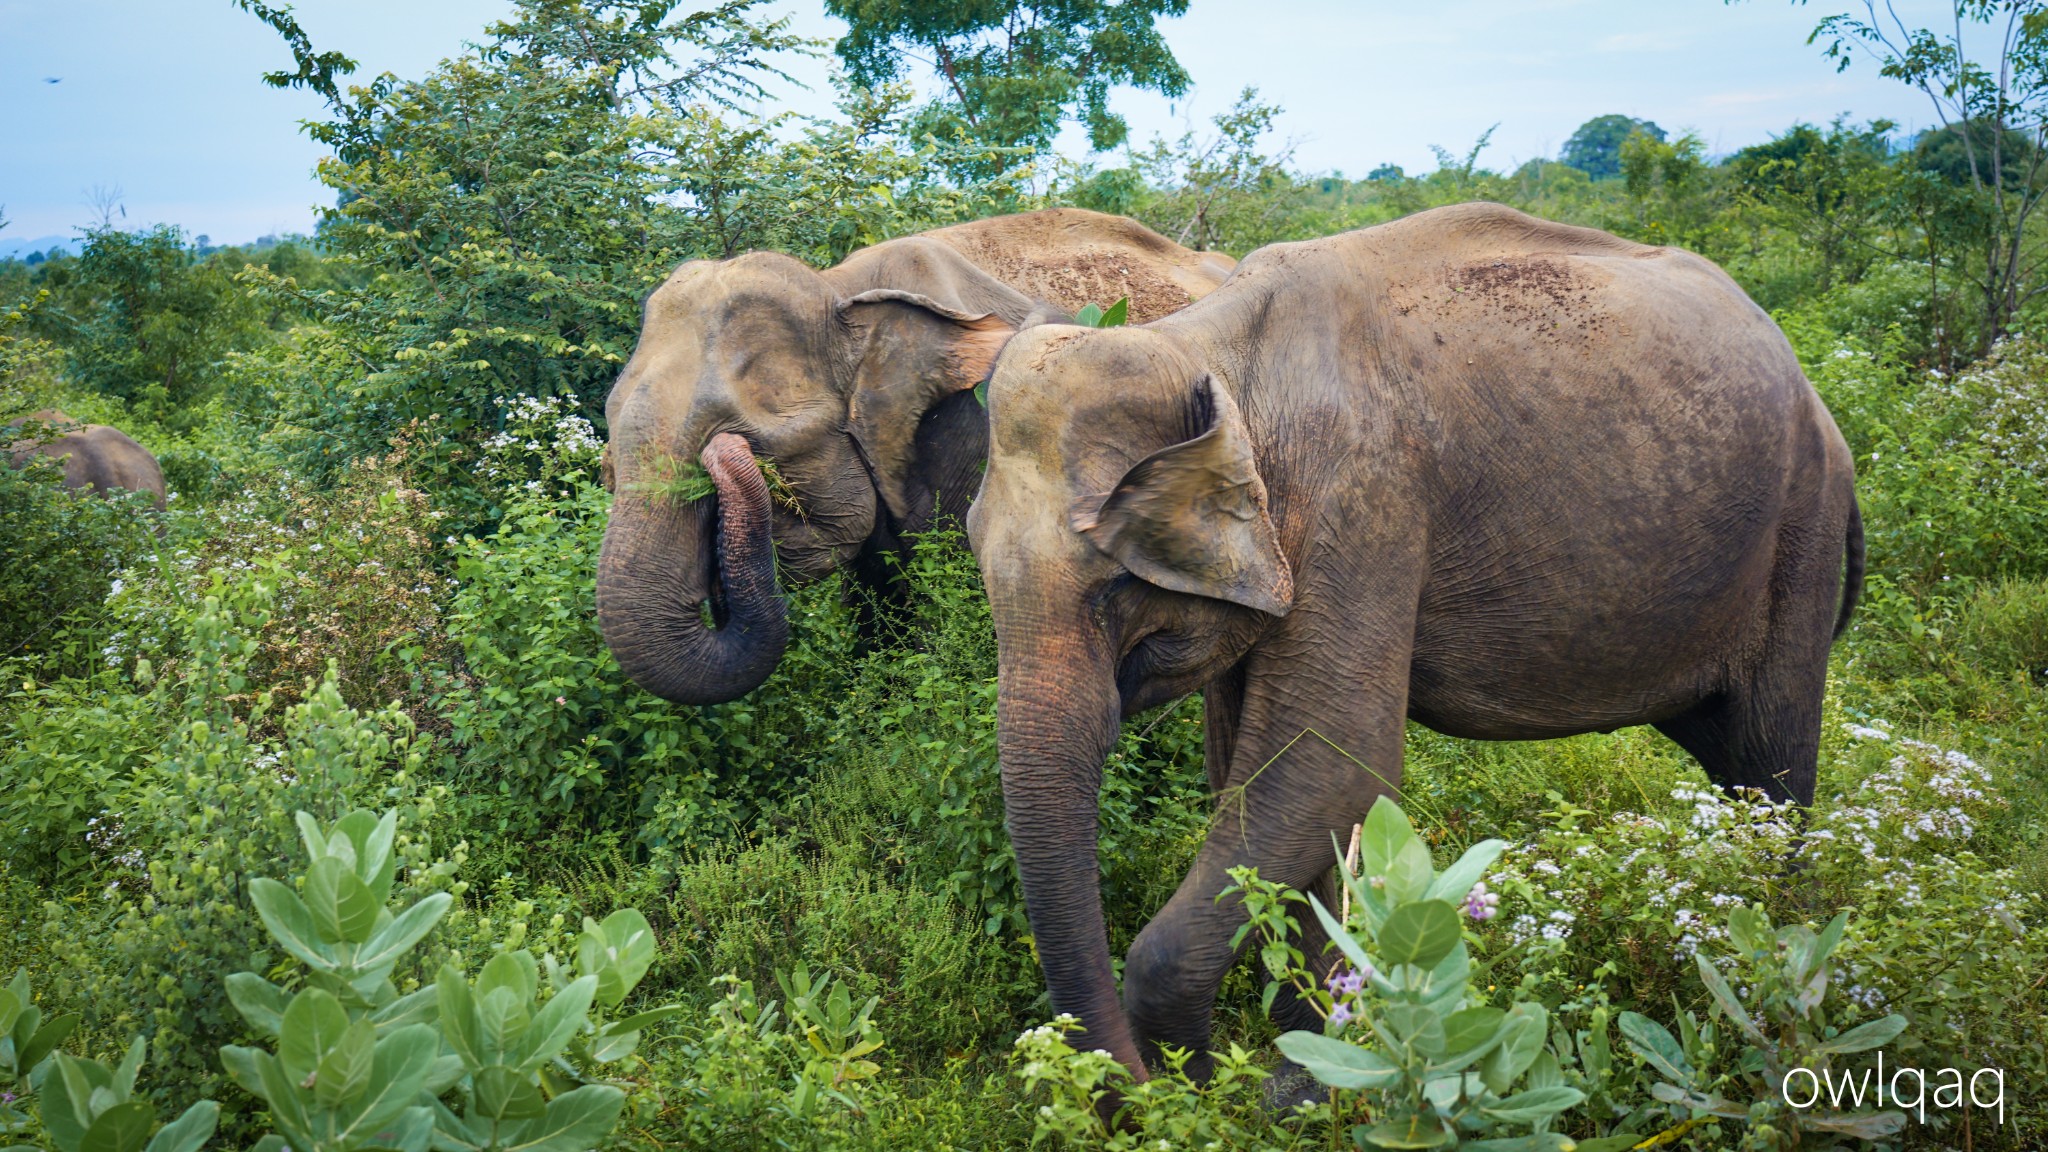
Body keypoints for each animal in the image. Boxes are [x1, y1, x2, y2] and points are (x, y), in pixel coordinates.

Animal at [966, 203, 1867, 1074]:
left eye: (1116, 584)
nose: (1141, 1085)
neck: (1208, 345)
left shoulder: (1363, 500)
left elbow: (1330, 764)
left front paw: (1236, 1085)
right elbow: (1261, 783)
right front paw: (1313, 1070)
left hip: (1802, 530)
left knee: (1770, 763)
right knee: (1731, 764)